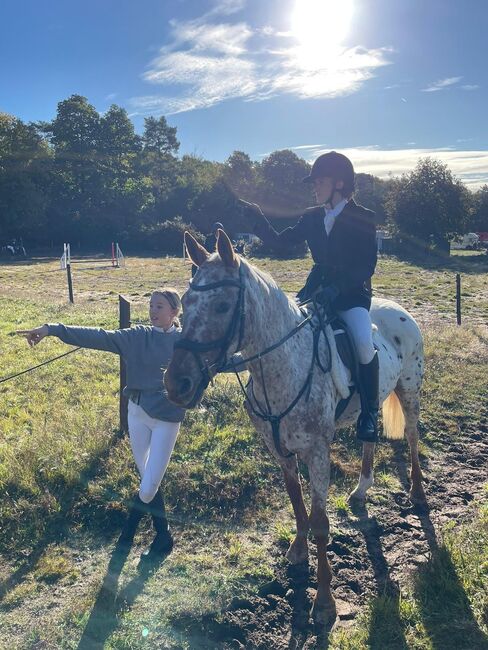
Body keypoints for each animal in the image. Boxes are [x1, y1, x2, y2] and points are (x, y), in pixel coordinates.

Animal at [166, 230, 426, 624]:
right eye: (184, 302)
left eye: (223, 307)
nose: (175, 385)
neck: (282, 365)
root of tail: (400, 309)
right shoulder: (279, 450)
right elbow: (295, 501)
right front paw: (297, 550)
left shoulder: (316, 452)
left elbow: (320, 522)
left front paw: (324, 601)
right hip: (374, 402)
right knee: (370, 436)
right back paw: (361, 489)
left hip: (409, 391)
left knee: (411, 436)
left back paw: (418, 494)